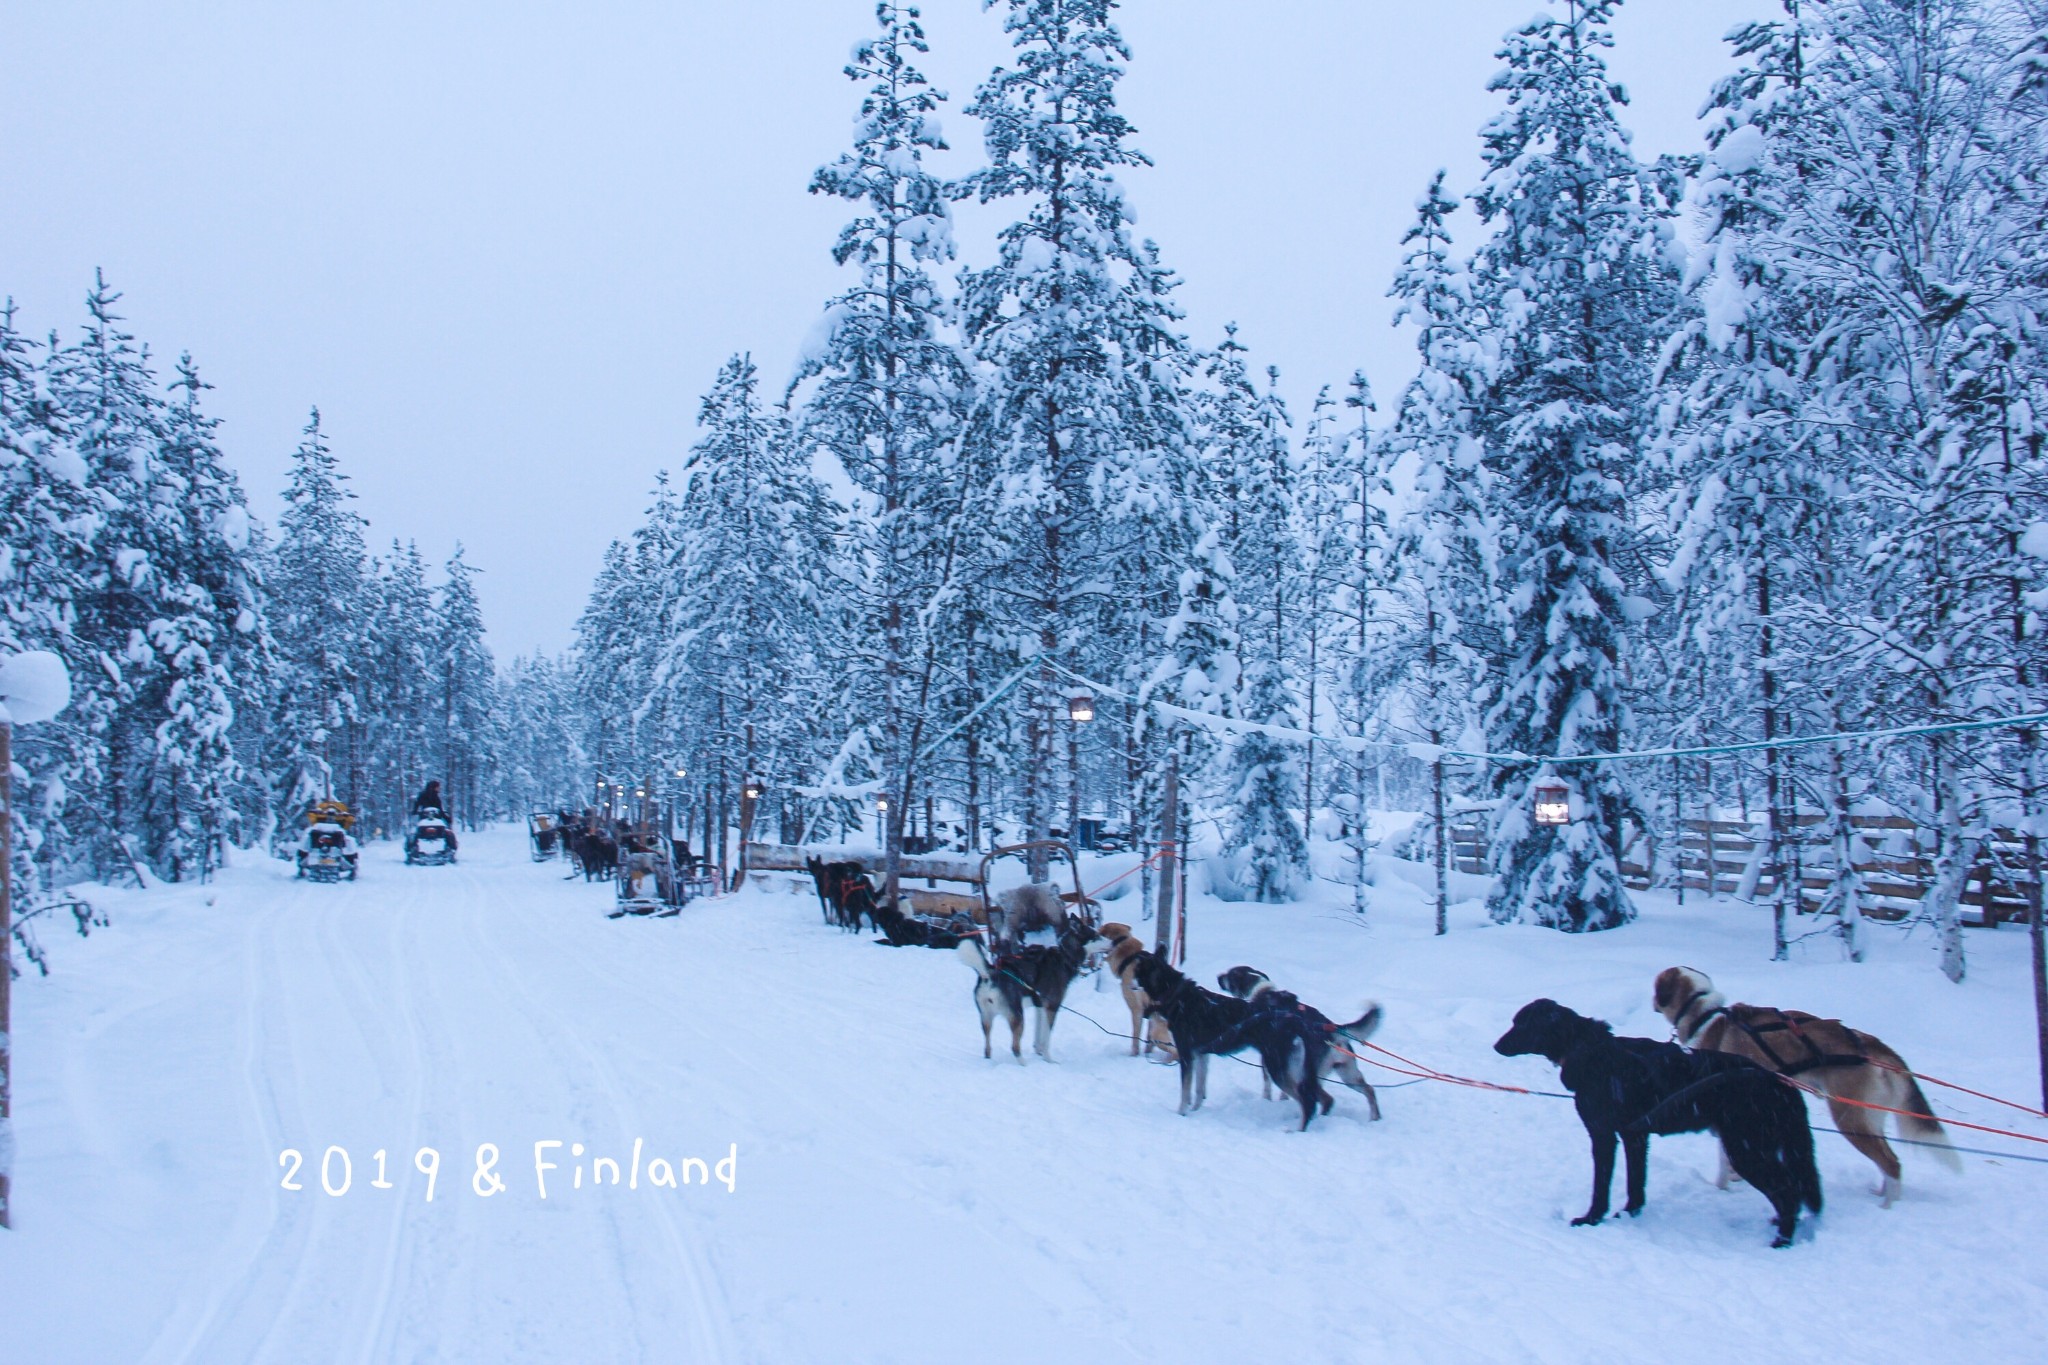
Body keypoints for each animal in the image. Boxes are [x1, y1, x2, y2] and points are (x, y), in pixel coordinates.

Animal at [954, 916, 1105, 1064]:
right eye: (1096, 936)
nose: (1110, 942)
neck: (1065, 956)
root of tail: (990, 973)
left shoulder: (1040, 1007)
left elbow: (1038, 1036)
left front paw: (1038, 1052)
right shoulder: (1052, 1007)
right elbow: (1046, 1039)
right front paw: (1048, 1059)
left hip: (987, 1018)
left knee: (987, 1049)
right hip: (1018, 1017)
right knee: (1015, 1047)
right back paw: (1024, 1064)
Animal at [1097, 925, 1179, 1064]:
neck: (1129, 958)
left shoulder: (1137, 1010)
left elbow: (1135, 1038)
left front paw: (1134, 1055)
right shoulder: (1151, 1015)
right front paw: (1147, 1053)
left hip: (1158, 1032)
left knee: (1177, 1054)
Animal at [1220, 965, 1384, 1129]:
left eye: (1230, 974)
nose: (1218, 976)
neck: (1262, 990)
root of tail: (1332, 1031)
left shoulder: (1269, 1060)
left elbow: (1267, 1086)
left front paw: (1267, 1100)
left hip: (1307, 1075)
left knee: (1321, 1099)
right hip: (1347, 1075)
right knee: (1369, 1090)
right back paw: (1373, 1118)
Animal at [1490, 998, 1826, 1244]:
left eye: (1520, 1023)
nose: (1496, 1046)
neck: (1588, 1051)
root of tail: (1780, 1084)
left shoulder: (1603, 1135)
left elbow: (1602, 1185)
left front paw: (1592, 1219)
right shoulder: (1634, 1137)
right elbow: (1635, 1183)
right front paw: (1629, 1214)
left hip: (1746, 1151)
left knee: (1788, 1191)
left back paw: (1782, 1240)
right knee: (1794, 1187)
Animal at [1646, 961, 1949, 1203]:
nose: (1652, 1001)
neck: (1704, 1016)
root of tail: (1872, 1045)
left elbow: (1724, 1159)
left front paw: (1719, 1187)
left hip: (1850, 1119)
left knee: (1892, 1163)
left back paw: (1888, 1205)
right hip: (1869, 1118)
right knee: (1887, 1160)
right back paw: (1882, 1193)